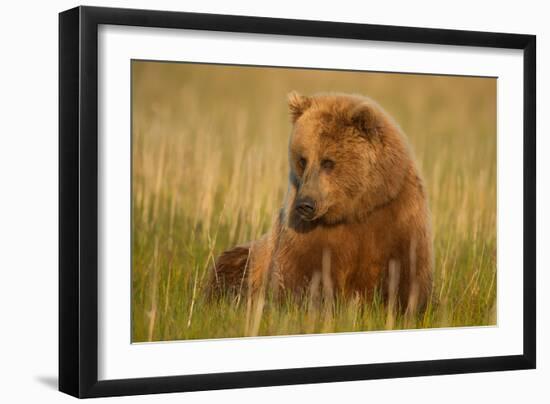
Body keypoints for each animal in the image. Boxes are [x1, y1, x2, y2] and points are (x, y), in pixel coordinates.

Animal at [209, 92, 434, 312]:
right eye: (302, 159)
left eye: (328, 161)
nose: (305, 204)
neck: (355, 210)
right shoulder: (306, 234)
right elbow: (300, 273)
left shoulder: (395, 215)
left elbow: (406, 272)